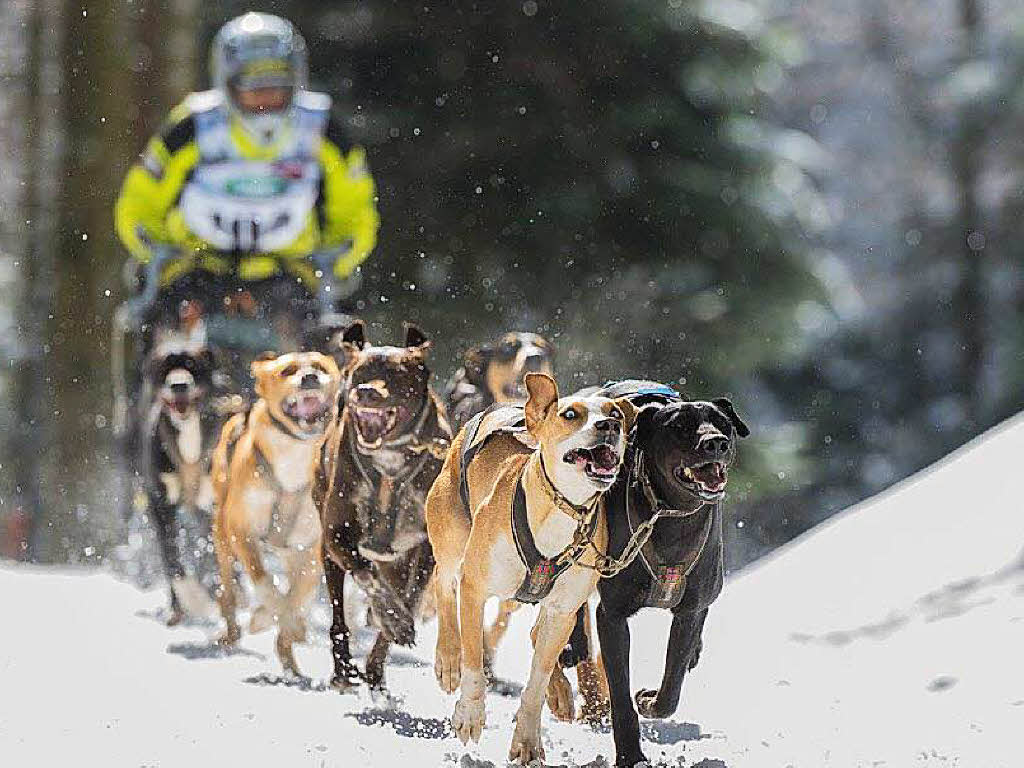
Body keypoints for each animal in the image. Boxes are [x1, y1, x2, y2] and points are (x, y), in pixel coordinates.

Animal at [142, 348, 220, 626]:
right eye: (165, 371)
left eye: (192, 366)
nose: (178, 385)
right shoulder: (160, 504)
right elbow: (172, 558)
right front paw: (192, 599)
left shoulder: (212, 505)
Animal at [209, 352, 342, 675]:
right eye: (288, 370)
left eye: (320, 367)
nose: (309, 377)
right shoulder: (242, 532)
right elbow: (265, 583)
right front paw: (263, 616)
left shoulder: (311, 548)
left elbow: (296, 600)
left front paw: (290, 626)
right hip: (222, 537)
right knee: (227, 592)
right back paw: (233, 631)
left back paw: (291, 660)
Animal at [311, 321, 452, 696]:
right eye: (361, 372)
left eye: (396, 375)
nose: (365, 392)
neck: (389, 466)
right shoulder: (338, 537)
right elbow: (368, 575)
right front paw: (392, 618)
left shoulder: (426, 549)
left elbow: (411, 598)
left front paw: (382, 652)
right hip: (327, 553)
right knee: (339, 617)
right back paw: (343, 668)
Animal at [423, 372, 630, 765]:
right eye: (570, 414)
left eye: (616, 414)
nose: (609, 425)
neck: (560, 512)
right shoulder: (475, 588)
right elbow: (475, 662)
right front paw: (470, 714)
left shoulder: (563, 610)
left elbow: (538, 677)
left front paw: (528, 741)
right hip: (452, 536)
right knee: (444, 584)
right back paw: (448, 657)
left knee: (535, 633)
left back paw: (560, 693)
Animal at [573, 382, 749, 768]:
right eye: (679, 427)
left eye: (722, 423)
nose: (715, 443)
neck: (670, 517)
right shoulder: (613, 615)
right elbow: (620, 696)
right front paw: (630, 755)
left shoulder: (689, 609)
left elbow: (672, 682)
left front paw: (652, 700)